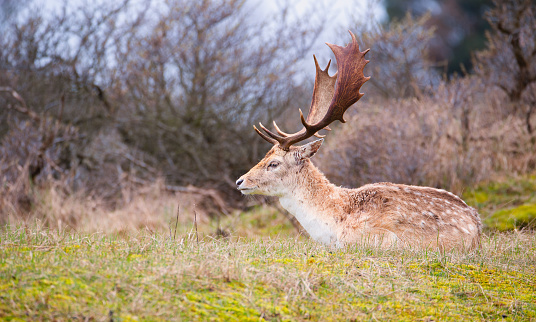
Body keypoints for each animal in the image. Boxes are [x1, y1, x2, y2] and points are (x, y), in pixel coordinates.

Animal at [234, 32, 482, 249]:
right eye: (264, 156)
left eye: (273, 163)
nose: (239, 181)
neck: (335, 221)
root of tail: (478, 226)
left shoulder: (378, 238)